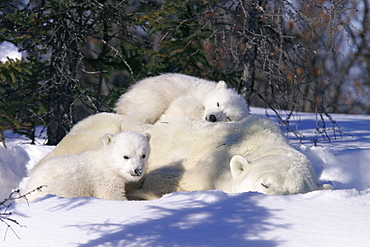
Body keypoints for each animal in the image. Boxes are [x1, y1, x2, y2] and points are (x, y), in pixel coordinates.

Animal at [114, 73, 250, 127]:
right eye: (218, 103)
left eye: (228, 117)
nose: (212, 117)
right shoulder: (194, 92)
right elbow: (182, 103)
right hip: (152, 92)